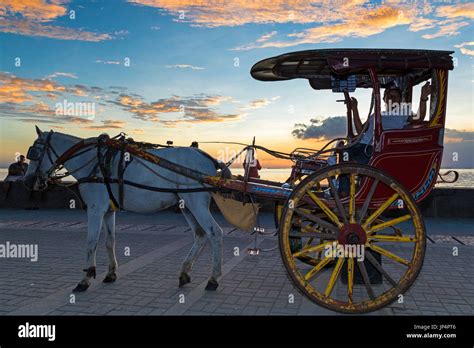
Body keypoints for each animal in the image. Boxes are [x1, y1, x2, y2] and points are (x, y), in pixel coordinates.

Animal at [24, 126, 231, 292]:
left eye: (34, 153)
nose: (27, 181)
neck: (93, 160)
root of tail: (209, 158)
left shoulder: (95, 209)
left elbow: (91, 243)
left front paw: (86, 278)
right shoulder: (108, 211)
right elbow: (110, 241)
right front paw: (110, 273)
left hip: (195, 202)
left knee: (215, 233)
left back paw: (213, 279)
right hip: (186, 204)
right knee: (200, 234)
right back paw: (185, 273)